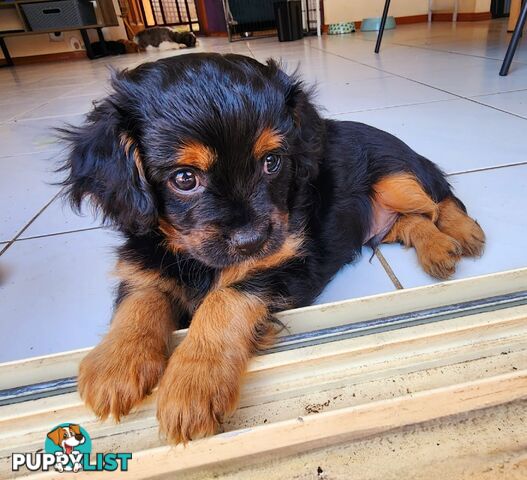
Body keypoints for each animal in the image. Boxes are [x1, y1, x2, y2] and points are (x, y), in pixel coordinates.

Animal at [59, 51, 484, 442]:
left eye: (272, 162)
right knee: (413, 222)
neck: (196, 259)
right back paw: (438, 251)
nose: (252, 241)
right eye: (184, 178)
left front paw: (193, 380)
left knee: (440, 199)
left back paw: (463, 235)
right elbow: (142, 296)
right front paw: (117, 363)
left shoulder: (287, 260)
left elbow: (225, 297)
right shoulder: (144, 260)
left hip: (397, 177)